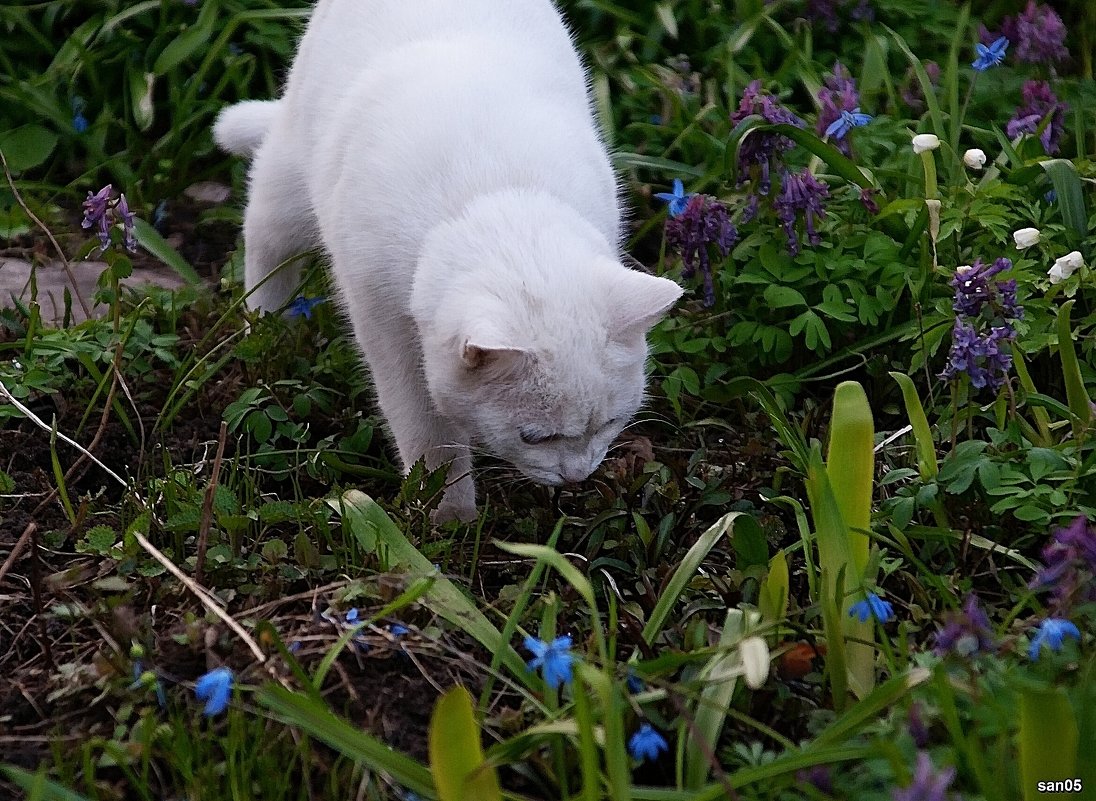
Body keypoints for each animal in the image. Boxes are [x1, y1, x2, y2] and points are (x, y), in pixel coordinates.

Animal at [209, 0, 679, 523]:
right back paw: (266, 332)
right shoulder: (383, 321)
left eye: (611, 422)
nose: (577, 475)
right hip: (290, 177)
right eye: (534, 437)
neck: (498, 202)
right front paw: (447, 517)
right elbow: (425, 428)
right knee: (264, 237)